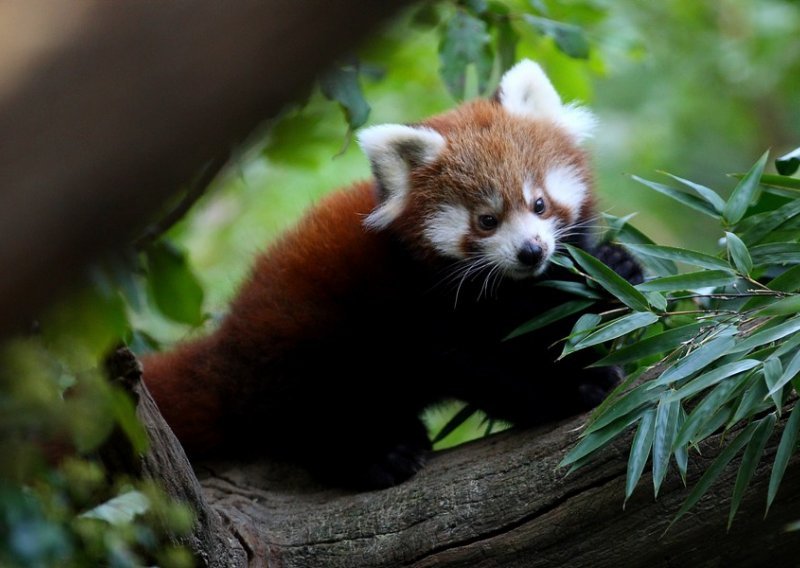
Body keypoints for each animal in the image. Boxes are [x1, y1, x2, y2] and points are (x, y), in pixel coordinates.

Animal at [145, 61, 644, 488]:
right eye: (486, 220)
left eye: (539, 204)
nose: (530, 251)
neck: (509, 290)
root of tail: (228, 344)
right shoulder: (423, 309)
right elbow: (480, 368)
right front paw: (564, 390)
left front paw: (615, 268)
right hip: (312, 343)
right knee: (317, 416)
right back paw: (378, 456)